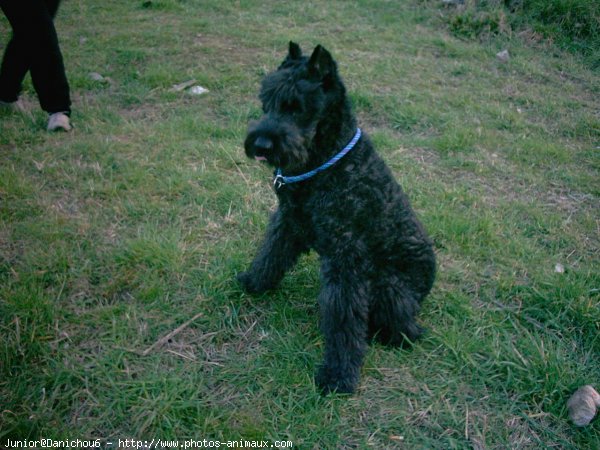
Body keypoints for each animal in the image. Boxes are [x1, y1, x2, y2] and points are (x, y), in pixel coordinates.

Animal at [239, 43, 436, 394]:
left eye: (297, 107)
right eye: (267, 101)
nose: (260, 144)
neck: (326, 160)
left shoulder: (346, 256)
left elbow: (344, 317)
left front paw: (338, 374)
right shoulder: (288, 220)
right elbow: (270, 254)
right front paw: (253, 281)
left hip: (389, 289)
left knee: (407, 329)